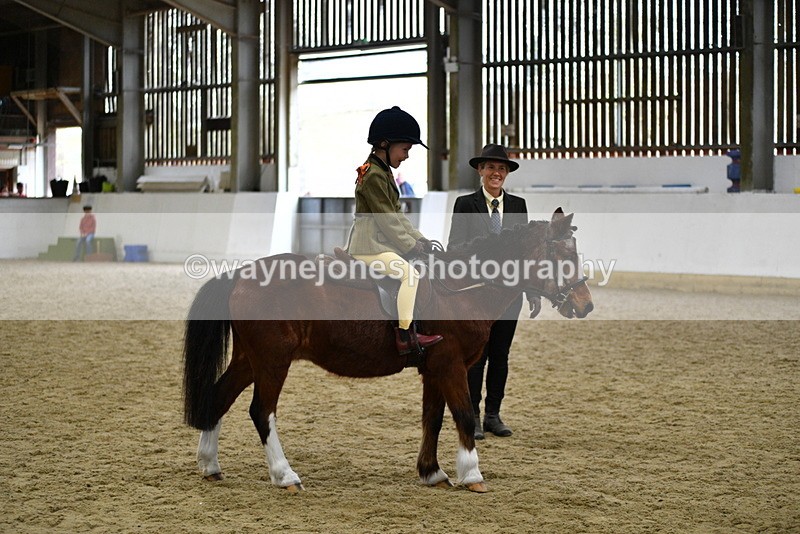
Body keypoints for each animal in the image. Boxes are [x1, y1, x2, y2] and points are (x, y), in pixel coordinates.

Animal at [182, 208, 594, 493]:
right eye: (564, 257)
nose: (586, 305)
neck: (461, 287)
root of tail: (241, 274)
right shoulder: (452, 365)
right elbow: (462, 415)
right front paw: (472, 474)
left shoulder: (435, 369)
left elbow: (433, 419)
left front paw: (433, 472)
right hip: (272, 362)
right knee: (261, 411)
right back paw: (285, 475)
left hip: (249, 359)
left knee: (219, 397)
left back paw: (210, 465)